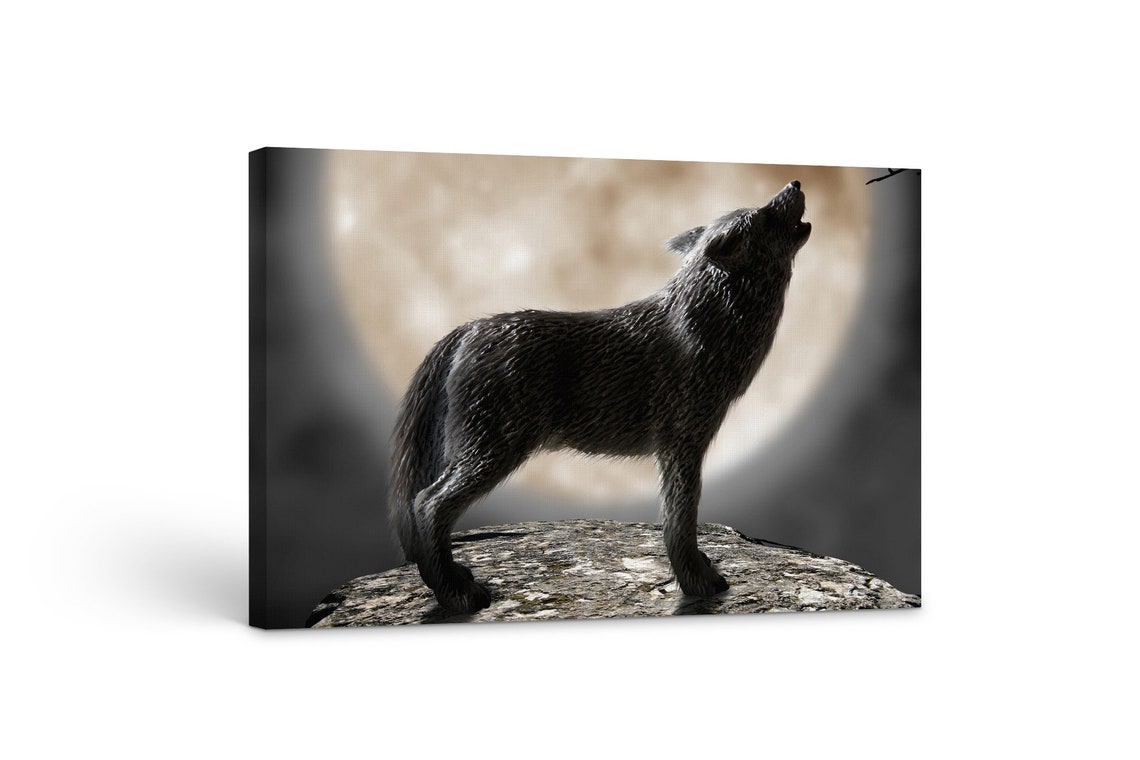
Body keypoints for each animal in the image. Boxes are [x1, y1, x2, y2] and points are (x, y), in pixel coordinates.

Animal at [390, 181, 812, 612]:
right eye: (764, 215)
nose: (795, 183)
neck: (709, 324)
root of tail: (468, 329)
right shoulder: (682, 447)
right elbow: (681, 521)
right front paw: (698, 581)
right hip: (493, 453)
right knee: (428, 503)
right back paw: (455, 592)